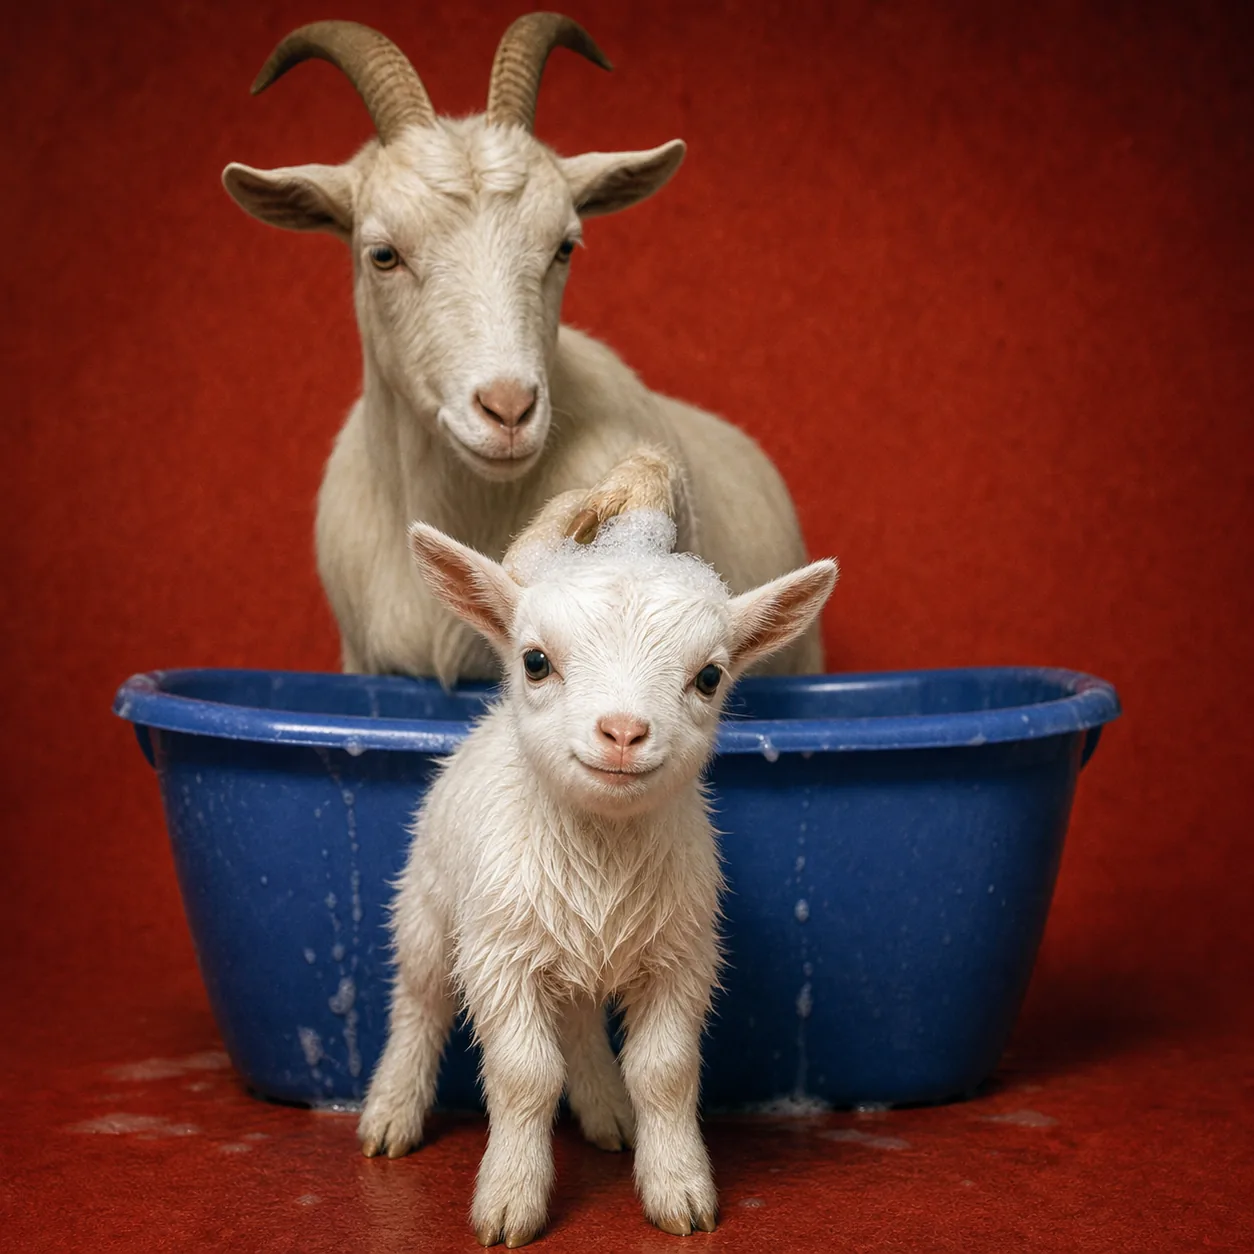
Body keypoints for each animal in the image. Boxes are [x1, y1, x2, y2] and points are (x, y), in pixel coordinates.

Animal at [357, 455, 838, 1246]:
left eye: (710, 676)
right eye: (536, 661)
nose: (622, 732)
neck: (602, 849)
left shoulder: (681, 957)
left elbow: (664, 1072)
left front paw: (678, 1189)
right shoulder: (499, 954)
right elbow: (524, 1074)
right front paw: (510, 1202)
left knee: (579, 1019)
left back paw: (609, 1112)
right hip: (428, 907)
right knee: (418, 1004)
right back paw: (391, 1113)